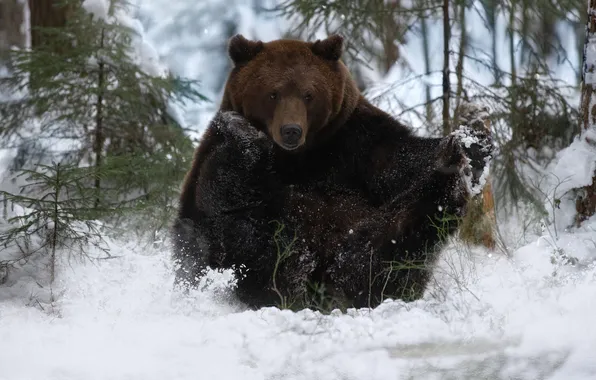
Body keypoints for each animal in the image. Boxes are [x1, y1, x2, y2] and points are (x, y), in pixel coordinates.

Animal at [171, 34, 494, 310]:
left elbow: (401, 159)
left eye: (308, 94)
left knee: (394, 246)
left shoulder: (356, 143)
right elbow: (220, 199)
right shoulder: (214, 152)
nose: (291, 130)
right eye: (273, 93)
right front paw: (243, 132)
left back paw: (450, 171)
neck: (300, 159)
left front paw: (473, 145)